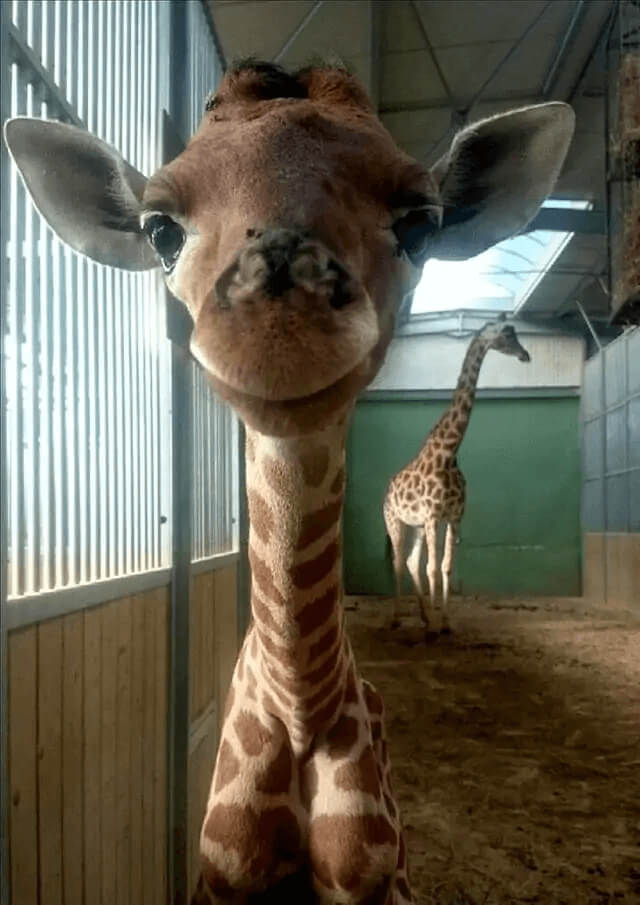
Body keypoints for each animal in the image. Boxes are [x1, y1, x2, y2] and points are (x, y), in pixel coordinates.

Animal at [383, 318, 531, 636]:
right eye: (507, 334)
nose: (525, 354)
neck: (449, 452)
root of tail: (387, 490)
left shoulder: (453, 516)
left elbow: (445, 566)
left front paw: (445, 622)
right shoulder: (432, 515)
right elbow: (432, 567)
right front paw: (434, 627)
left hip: (415, 525)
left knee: (411, 561)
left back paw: (425, 616)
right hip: (395, 520)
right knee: (399, 561)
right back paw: (397, 618)